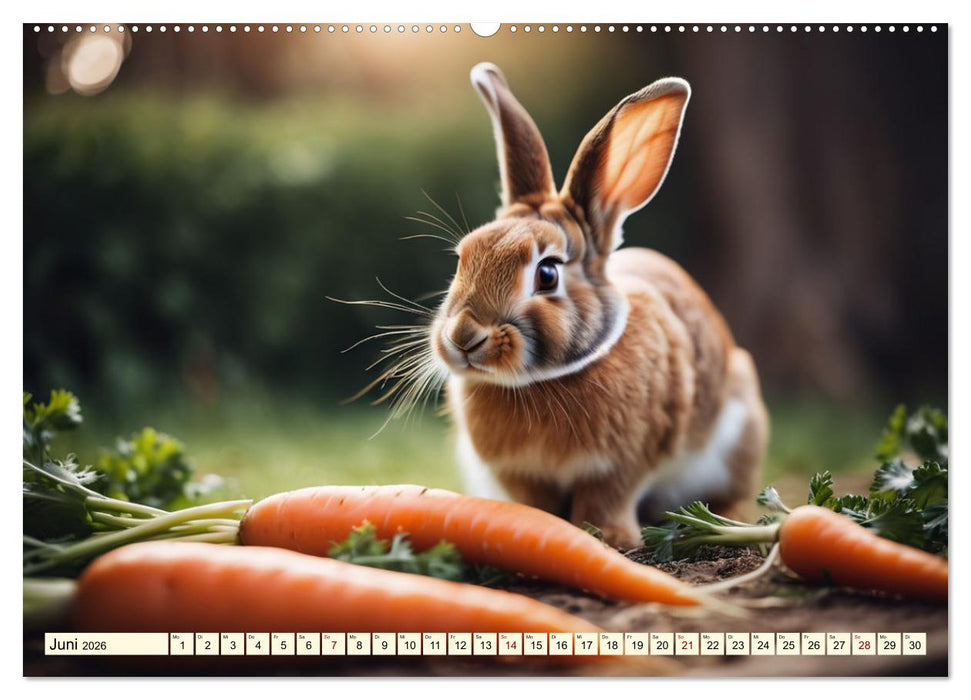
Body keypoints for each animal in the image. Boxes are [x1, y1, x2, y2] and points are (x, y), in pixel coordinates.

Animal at [425, 63, 769, 549]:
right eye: (463, 258)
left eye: (547, 274)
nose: (464, 337)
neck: (539, 382)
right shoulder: (520, 475)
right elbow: (535, 506)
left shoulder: (623, 465)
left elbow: (607, 497)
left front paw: (610, 538)